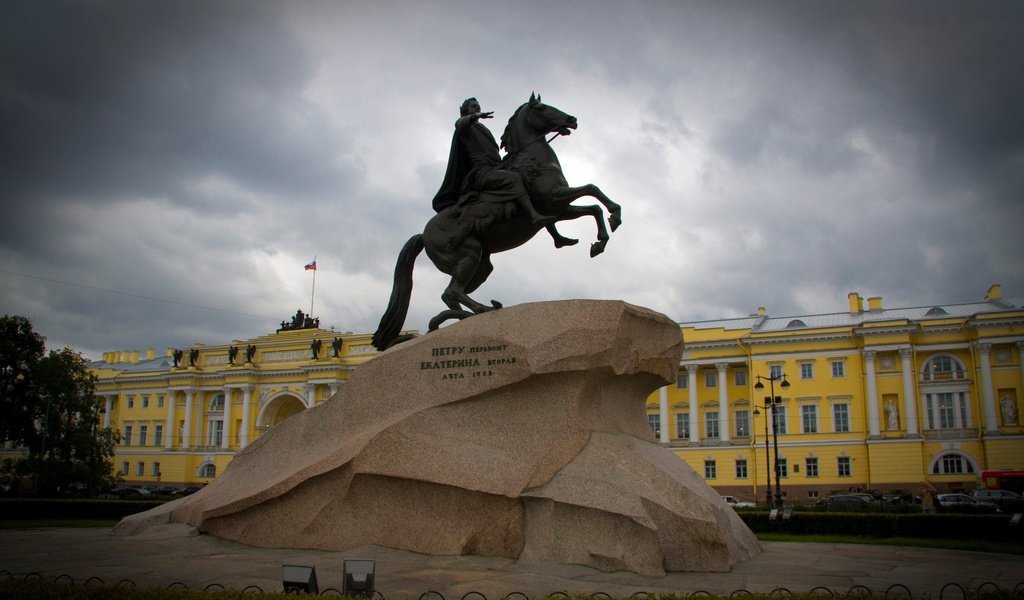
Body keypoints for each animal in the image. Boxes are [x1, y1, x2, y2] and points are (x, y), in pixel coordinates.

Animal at [372, 94, 618, 350]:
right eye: (542, 108)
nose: (572, 119)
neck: (533, 159)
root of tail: (423, 234)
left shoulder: (560, 208)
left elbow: (593, 206)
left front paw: (599, 241)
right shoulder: (555, 197)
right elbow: (592, 189)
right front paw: (613, 219)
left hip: (481, 266)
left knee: (451, 295)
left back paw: (462, 317)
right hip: (469, 253)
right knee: (452, 291)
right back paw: (482, 309)